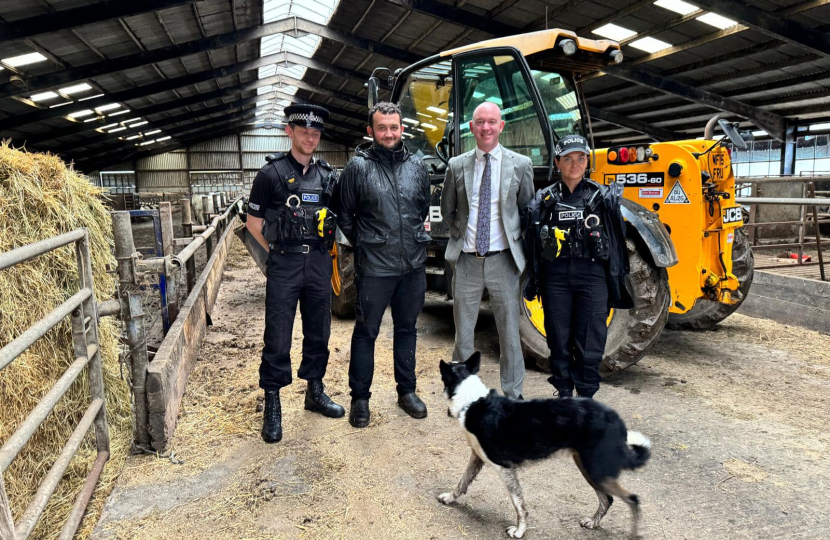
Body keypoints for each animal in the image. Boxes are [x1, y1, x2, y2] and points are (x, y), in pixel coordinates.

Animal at [438, 352, 652, 536]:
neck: (472, 402)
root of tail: (617, 420)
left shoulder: (504, 468)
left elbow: (519, 504)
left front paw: (519, 531)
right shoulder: (477, 457)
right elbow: (462, 483)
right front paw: (449, 498)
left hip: (596, 469)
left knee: (632, 499)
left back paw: (633, 533)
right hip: (589, 468)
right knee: (607, 499)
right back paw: (593, 522)